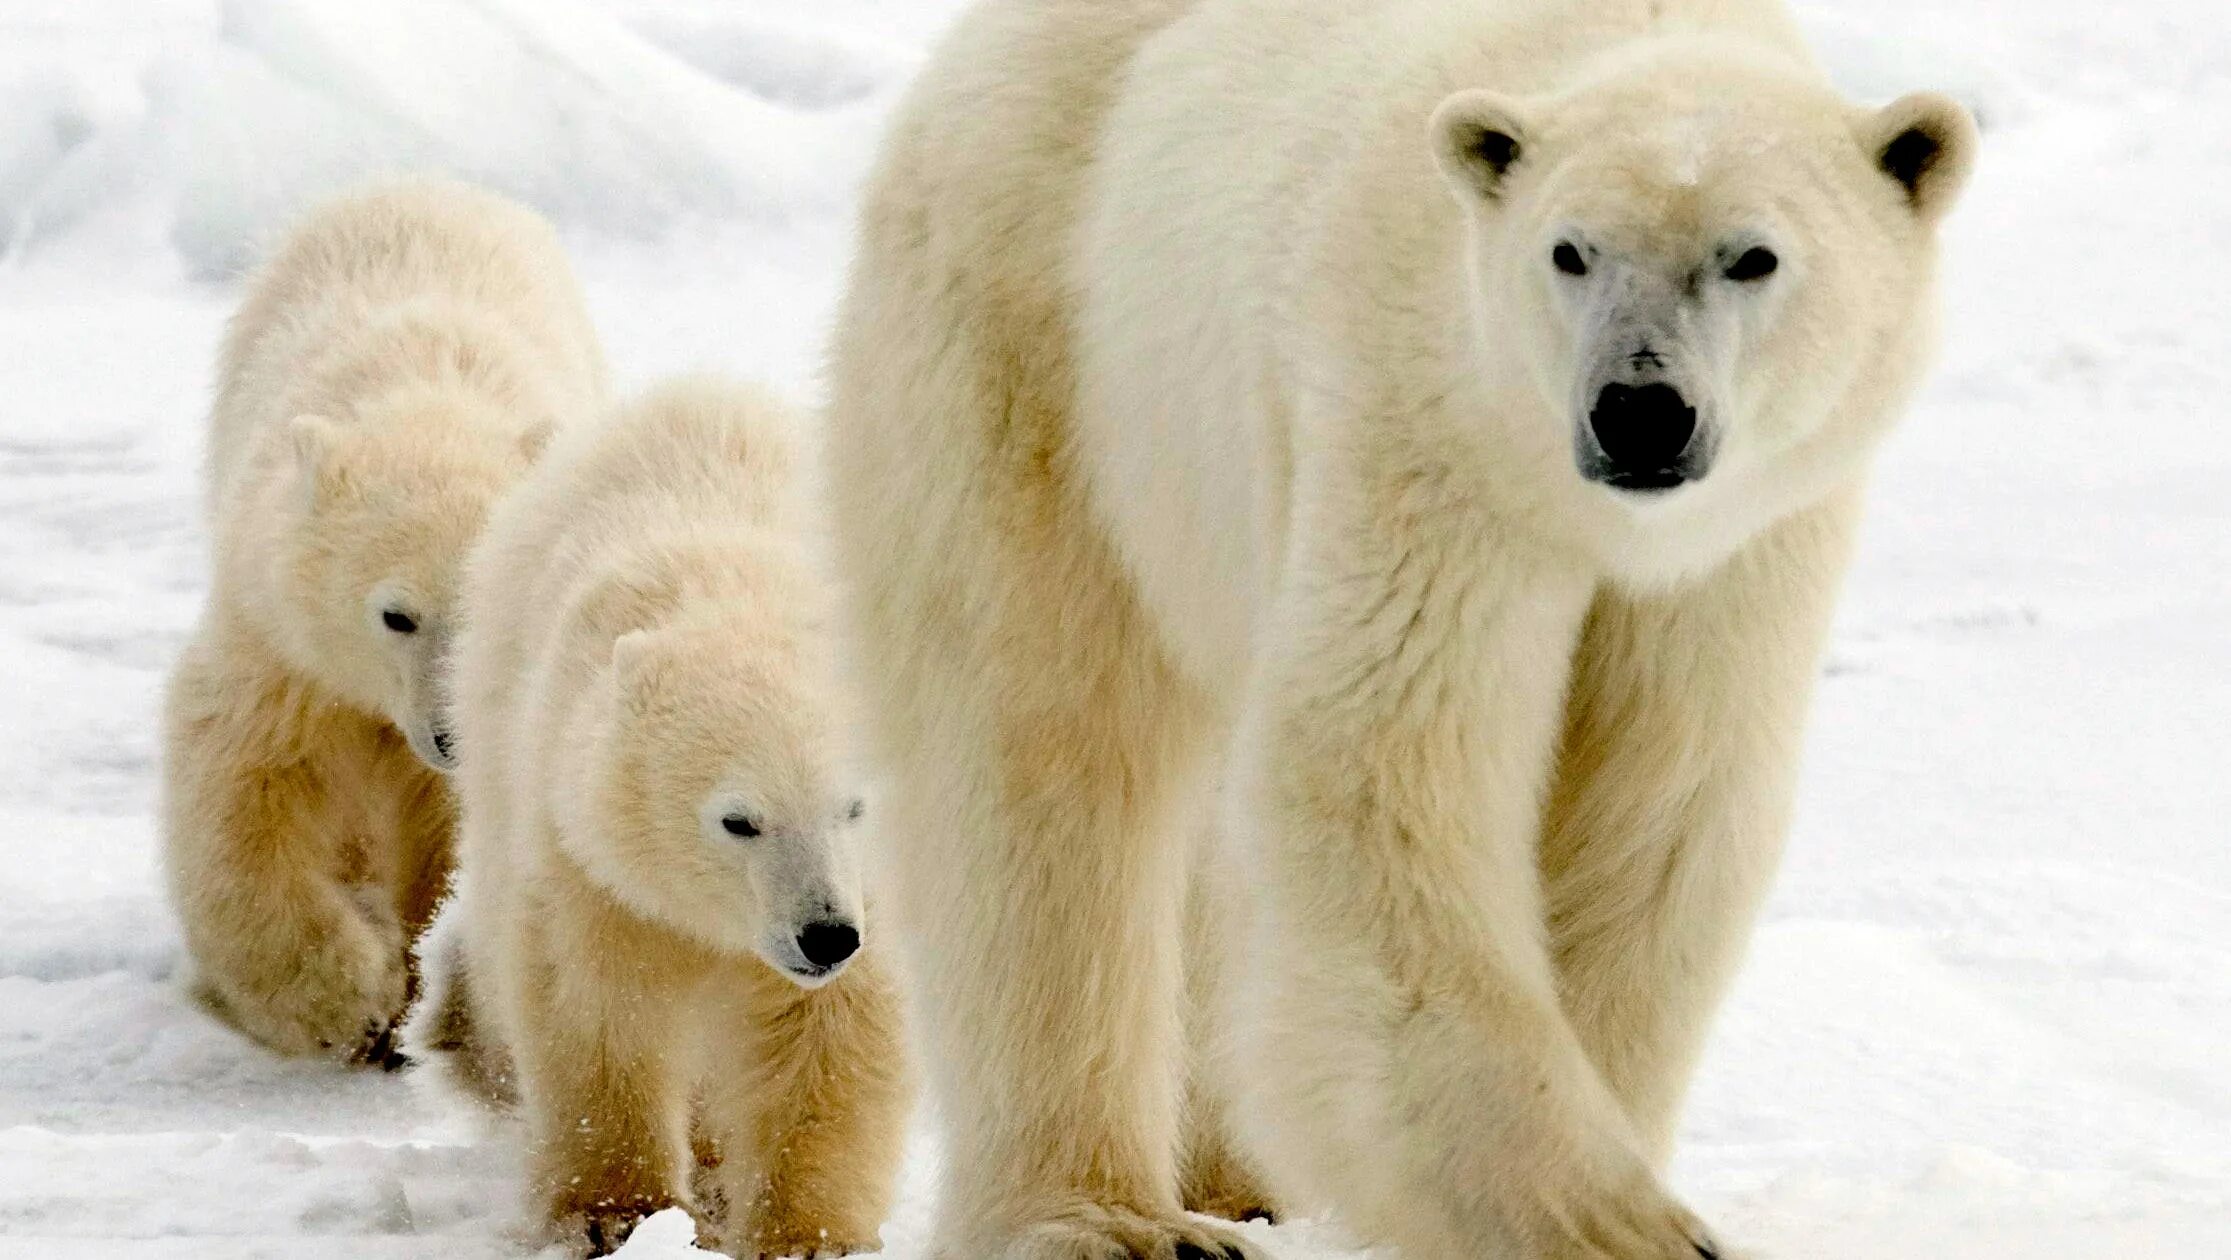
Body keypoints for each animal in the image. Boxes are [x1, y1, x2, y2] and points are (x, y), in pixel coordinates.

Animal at [161, 177, 606, 1061]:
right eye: (396, 615)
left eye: (484, 611)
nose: (448, 737)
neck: (425, 401)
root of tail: (423, 181)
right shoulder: (279, 637)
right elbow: (239, 781)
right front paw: (346, 1001)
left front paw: (411, 994)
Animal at [410, 379, 905, 1248]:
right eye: (738, 820)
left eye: (853, 807)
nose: (825, 935)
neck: (741, 594)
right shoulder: (590, 854)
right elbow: (599, 1010)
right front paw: (613, 1215)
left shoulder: (870, 892)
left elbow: (828, 1034)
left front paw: (806, 1234)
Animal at [825, 0, 1972, 1248]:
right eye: (1568, 251)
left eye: (1749, 256)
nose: (1637, 409)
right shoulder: (1420, 432)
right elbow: (1384, 779)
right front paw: (1615, 1227)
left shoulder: (1739, 552)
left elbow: (1661, 808)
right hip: (1046, 346)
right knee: (1042, 751)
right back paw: (1111, 1220)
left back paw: (1238, 1173)